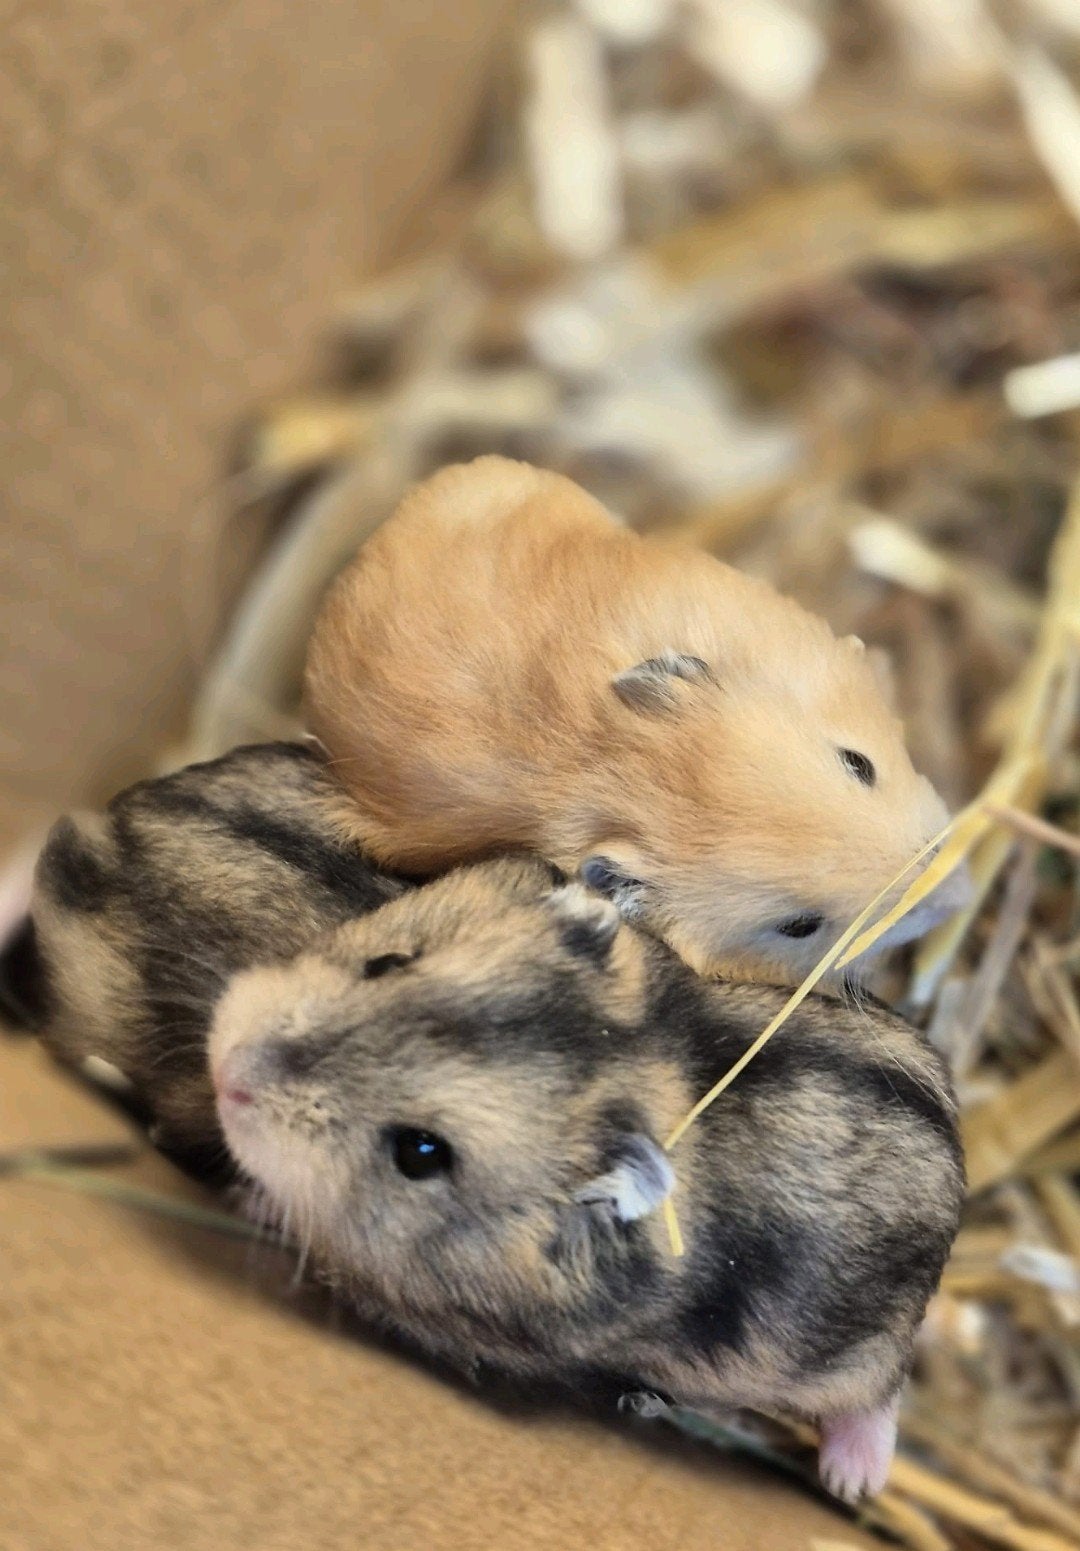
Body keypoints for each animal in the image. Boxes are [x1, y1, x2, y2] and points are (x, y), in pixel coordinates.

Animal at [210, 855, 963, 1502]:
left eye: (420, 1153)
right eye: (387, 961)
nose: (227, 1073)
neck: (624, 1064)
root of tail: (958, 1168)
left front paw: (250, 1199)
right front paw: (244, 1192)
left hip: (851, 1358)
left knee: (877, 1397)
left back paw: (852, 1481)